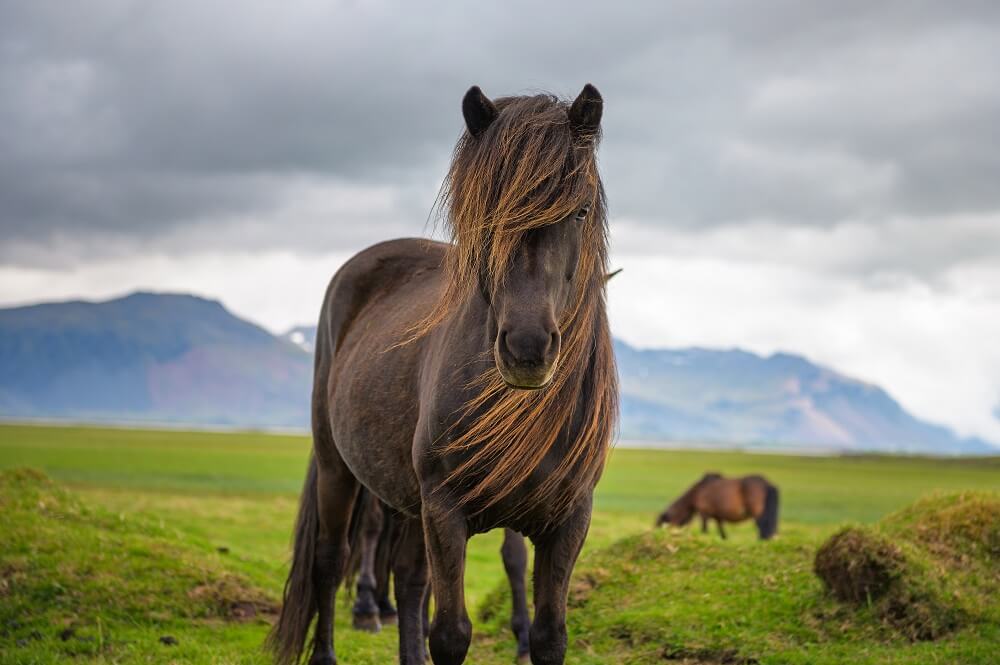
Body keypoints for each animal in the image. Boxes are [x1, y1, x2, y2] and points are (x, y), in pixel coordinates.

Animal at [268, 83, 616, 664]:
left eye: (581, 210)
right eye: (486, 213)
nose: (526, 347)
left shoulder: (569, 519)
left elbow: (548, 634)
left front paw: (526, 637)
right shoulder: (445, 512)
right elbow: (451, 633)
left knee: (409, 579)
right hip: (340, 469)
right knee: (332, 558)